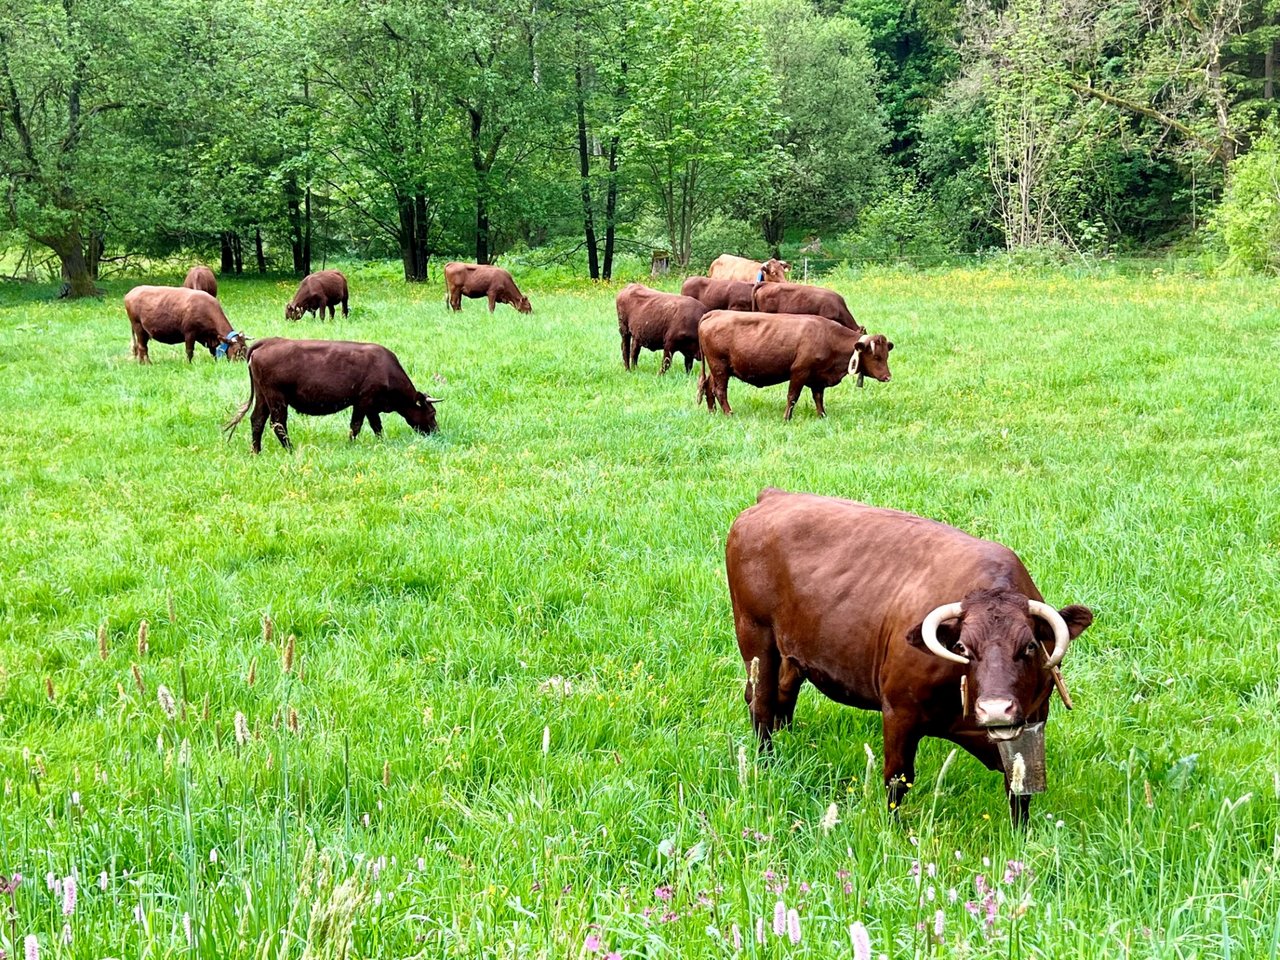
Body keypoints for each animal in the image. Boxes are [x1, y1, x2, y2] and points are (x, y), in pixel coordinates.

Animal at [222, 338, 441, 453]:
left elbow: (376, 426)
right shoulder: (363, 400)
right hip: (277, 398)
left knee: (257, 420)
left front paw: (381, 442)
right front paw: (350, 445)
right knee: (278, 424)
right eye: (432, 414)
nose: (436, 432)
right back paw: (290, 449)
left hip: (263, 396)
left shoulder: (371, 406)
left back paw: (256, 451)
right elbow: (356, 425)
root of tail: (268, 342)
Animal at [695, 311, 892, 420]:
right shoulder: (799, 372)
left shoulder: (818, 378)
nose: (887, 377)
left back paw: (712, 412)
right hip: (720, 367)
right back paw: (729, 413)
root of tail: (714, 313)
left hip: (718, 368)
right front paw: (786, 418)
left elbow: (818, 398)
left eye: (886, 355)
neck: (828, 338)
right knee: (720, 390)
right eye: (876, 356)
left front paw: (822, 415)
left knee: (708, 386)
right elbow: (792, 397)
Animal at [726, 488, 1094, 824]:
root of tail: (775, 496)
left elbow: (1019, 787)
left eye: (1029, 646)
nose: (995, 709)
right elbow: (898, 779)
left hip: (792, 651)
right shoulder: (899, 713)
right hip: (755, 637)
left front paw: (1020, 838)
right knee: (761, 703)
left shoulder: (1030, 726)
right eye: (963, 647)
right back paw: (766, 764)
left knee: (783, 696)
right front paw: (894, 831)